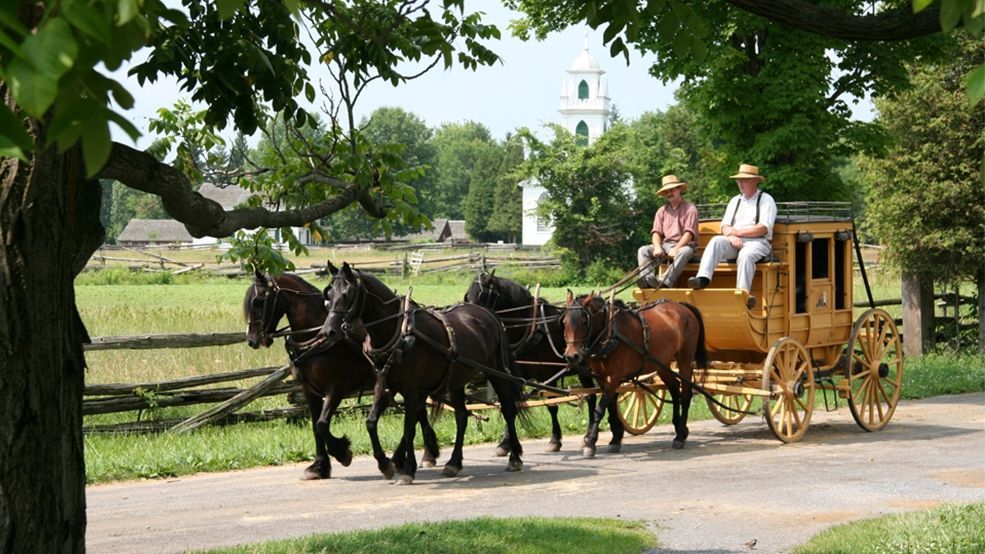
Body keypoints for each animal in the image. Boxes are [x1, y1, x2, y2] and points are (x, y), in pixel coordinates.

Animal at [242, 270, 438, 476]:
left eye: (258, 301)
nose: (252, 340)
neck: (318, 336)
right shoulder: (309, 391)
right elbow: (315, 426)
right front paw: (320, 466)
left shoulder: (336, 389)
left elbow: (321, 424)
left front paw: (342, 452)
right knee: (419, 413)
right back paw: (423, 455)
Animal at [320, 260, 528, 480]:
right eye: (329, 293)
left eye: (348, 293)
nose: (328, 331)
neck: (399, 334)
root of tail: (490, 315)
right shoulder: (385, 385)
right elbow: (371, 422)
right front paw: (384, 464)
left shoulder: (411, 389)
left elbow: (409, 428)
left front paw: (407, 469)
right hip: (456, 380)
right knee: (462, 416)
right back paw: (453, 463)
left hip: (496, 371)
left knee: (508, 409)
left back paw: (514, 458)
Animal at [462, 268, 616, 452]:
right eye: (467, 296)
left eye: (483, 295)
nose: (469, 318)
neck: (531, 328)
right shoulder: (517, 376)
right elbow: (514, 402)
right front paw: (505, 442)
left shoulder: (548, 375)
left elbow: (552, 406)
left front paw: (555, 439)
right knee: (593, 396)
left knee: (597, 396)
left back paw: (593, 434)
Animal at [560, 292, 708, 454]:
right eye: (564, 322)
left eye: (584, 321)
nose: (571, 356)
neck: (610, 333)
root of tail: (681, 305)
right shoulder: (601, 377)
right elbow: (610, 405)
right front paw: (615, 439)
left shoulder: (614, 377)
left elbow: (600, 408)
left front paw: (590, 441)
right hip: (662, 363)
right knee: (675, 389)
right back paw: (679, 428)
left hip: (685, 361)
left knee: (686, 394)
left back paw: (680, 435)